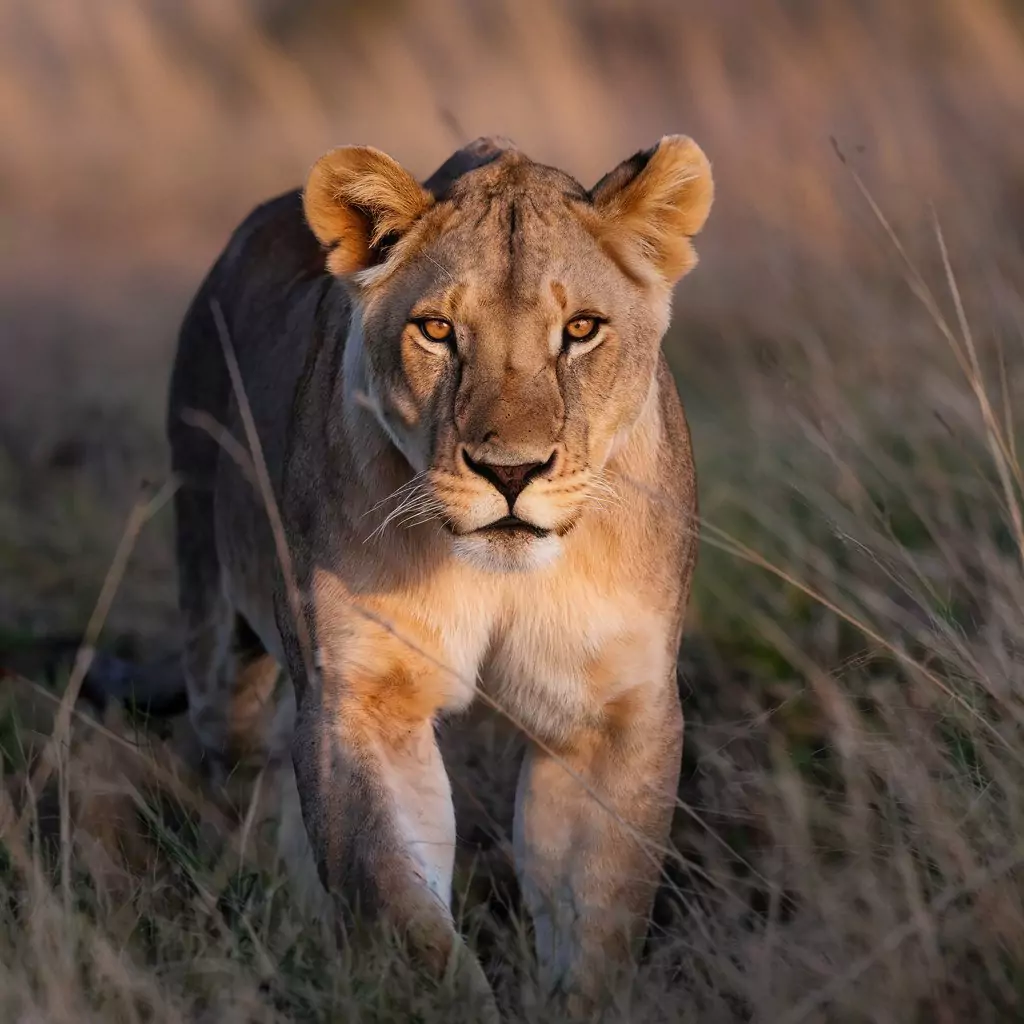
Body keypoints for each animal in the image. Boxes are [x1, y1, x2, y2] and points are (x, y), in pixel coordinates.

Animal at [163, 133, 713, 1017]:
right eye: (437, 329)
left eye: (581, 330)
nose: (510, 471)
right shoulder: (362, 696)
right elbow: (403, 908)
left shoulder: (610, 713)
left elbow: (599, 918)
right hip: (219, 649)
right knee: (248, 771)